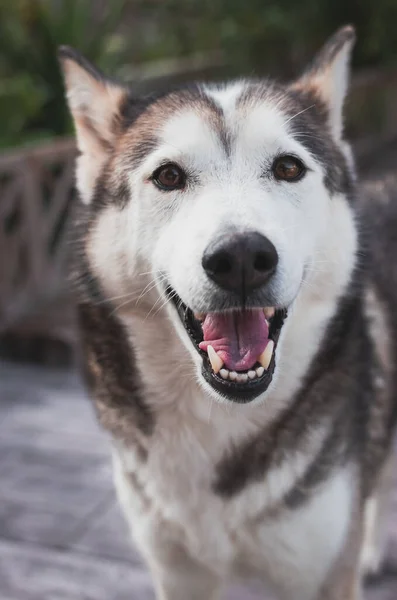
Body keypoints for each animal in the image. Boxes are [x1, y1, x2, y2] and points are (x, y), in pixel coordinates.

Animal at [59, 27, 396, 600]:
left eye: (288, 167)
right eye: (168, 176)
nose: (241, 258)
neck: (217, 418)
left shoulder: (321, 572)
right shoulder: (178, 574)